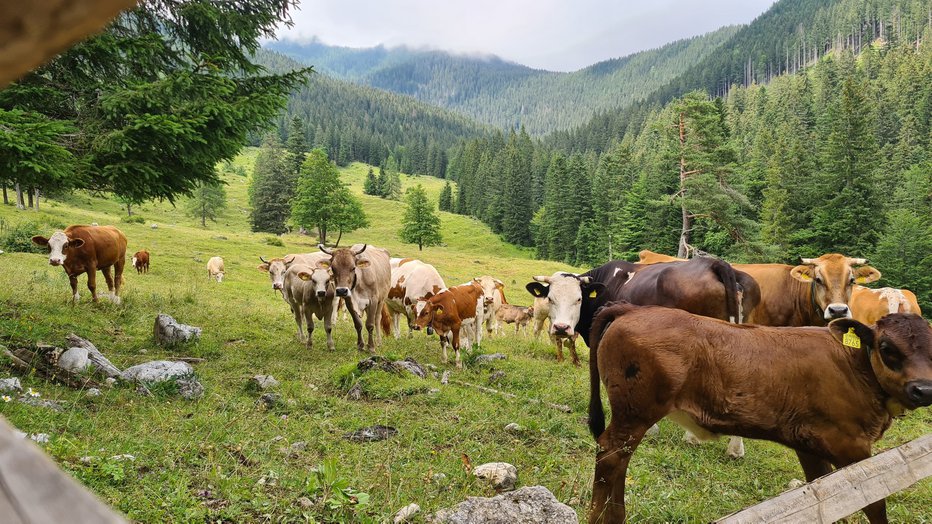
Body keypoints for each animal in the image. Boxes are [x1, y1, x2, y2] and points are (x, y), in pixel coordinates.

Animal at [588, 302, 932, 524]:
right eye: (887, 348)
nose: (924, 389)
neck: (856, 365)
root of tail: (633, 309)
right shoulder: (853, 446)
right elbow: (873, 503)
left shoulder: (810, 444)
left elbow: (823, 492)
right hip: (635, 412)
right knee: (611, 455)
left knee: (619, 459)